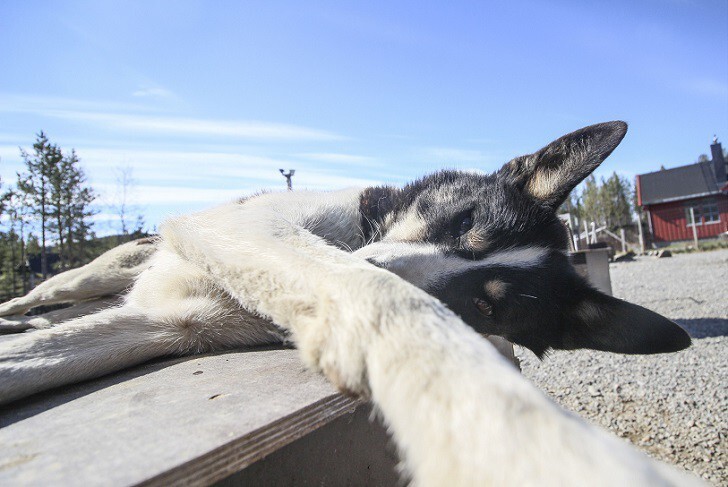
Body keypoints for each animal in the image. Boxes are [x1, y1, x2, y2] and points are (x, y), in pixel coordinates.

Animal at [0, 123, 692, 487]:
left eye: (487, 309)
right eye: (463, 218)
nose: (372, 260)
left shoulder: (166, 326)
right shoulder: (250, 231)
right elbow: (379, 294)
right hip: (98, 272)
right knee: (55, 293)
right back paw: (24, 307)